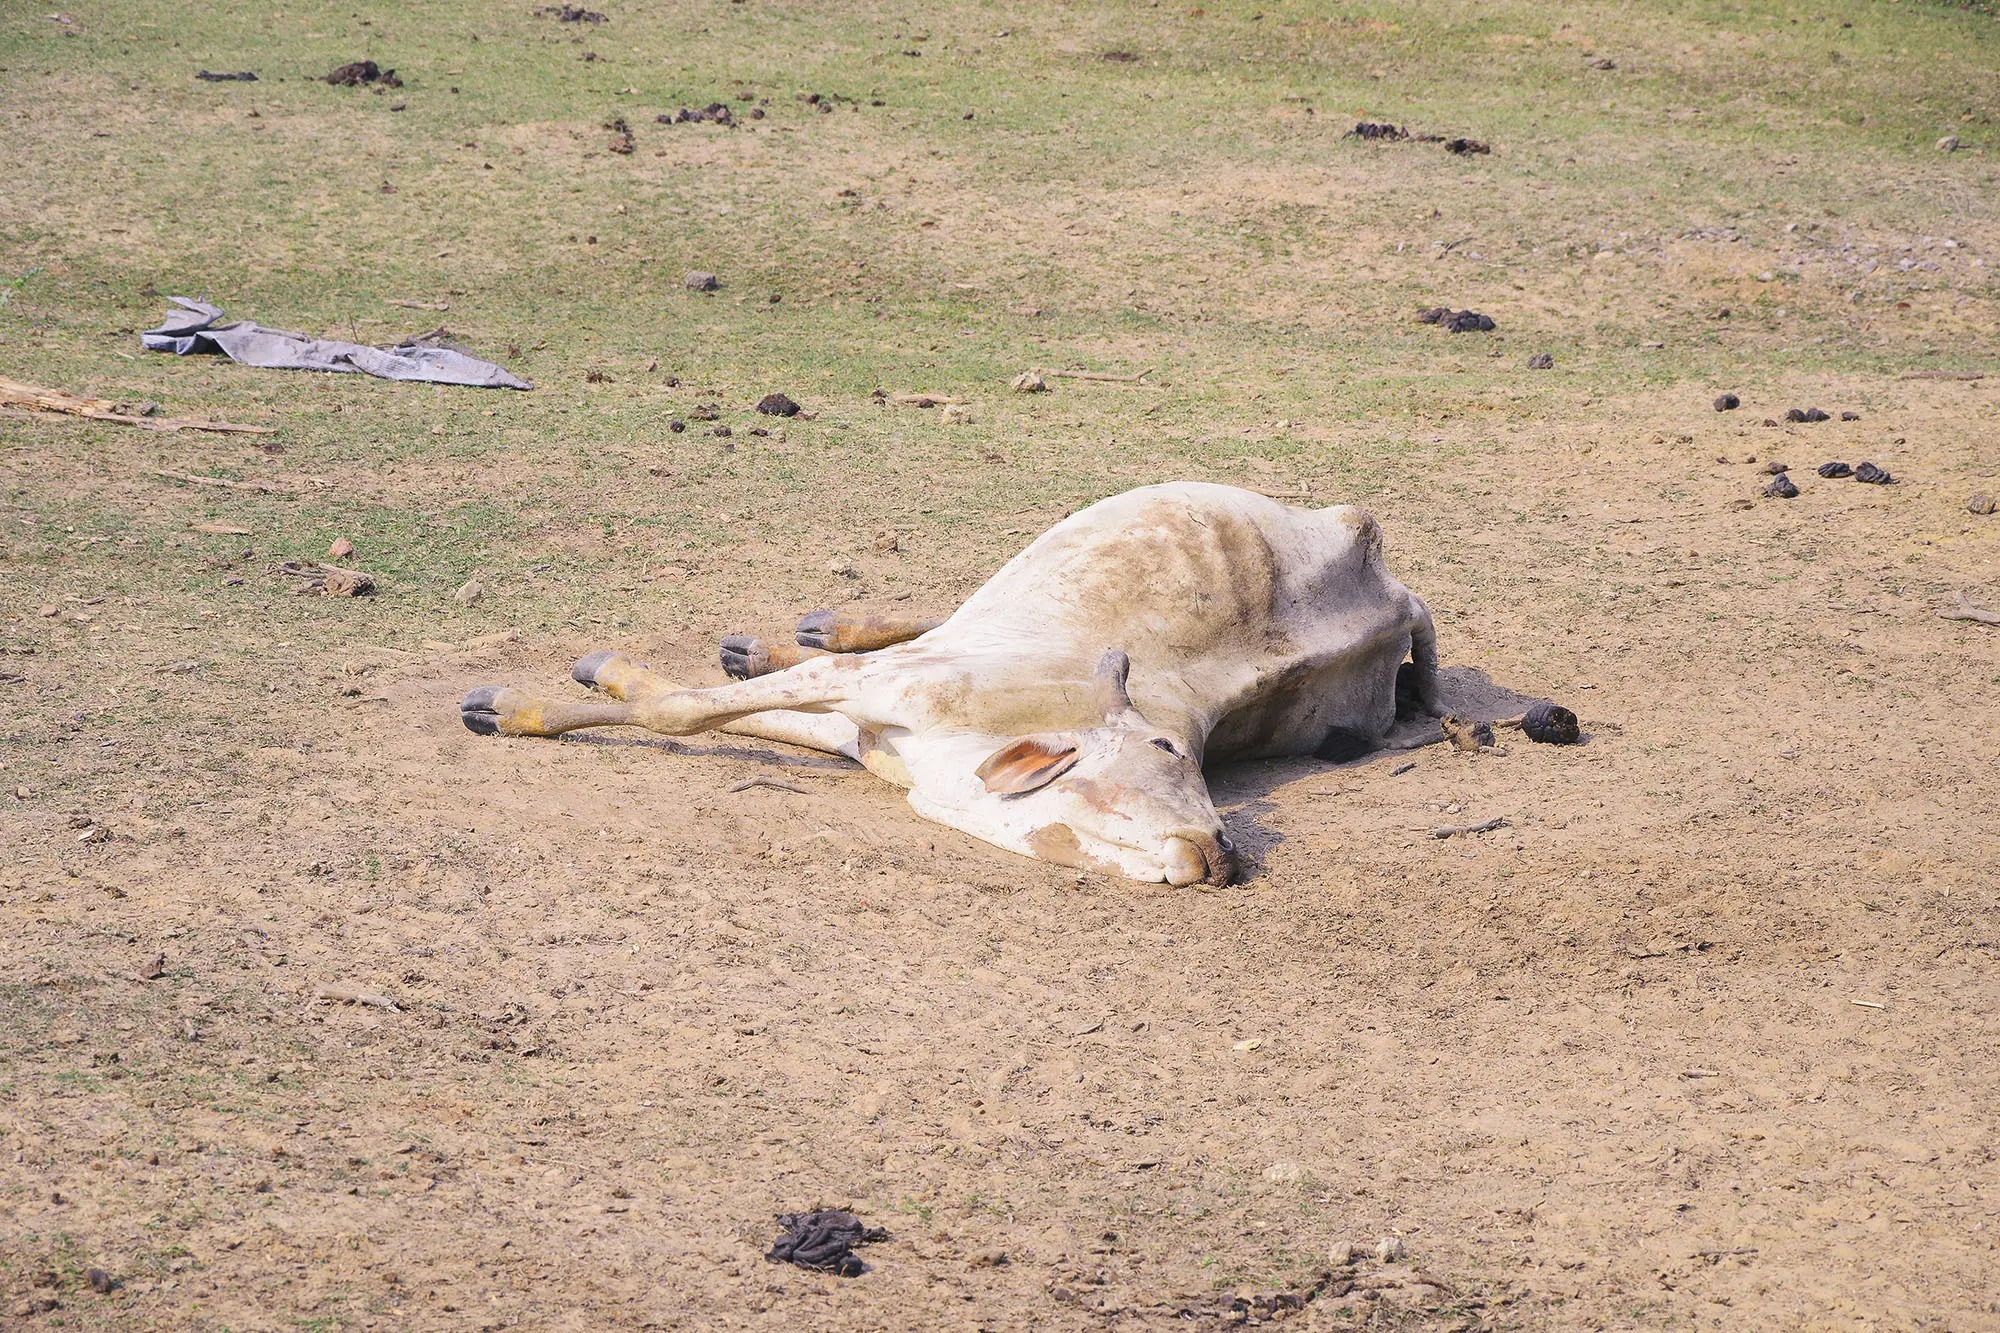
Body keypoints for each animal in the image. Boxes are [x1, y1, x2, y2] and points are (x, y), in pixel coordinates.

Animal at [460, 478, 1448, 880]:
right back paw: (794, 633)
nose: (1221, 851)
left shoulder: (867, 716)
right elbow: (684, 710)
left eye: (1197, 758)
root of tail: (1392, 584)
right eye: (1169, 749)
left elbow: (703, 712)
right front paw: (524, 703)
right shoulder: (878, 694)